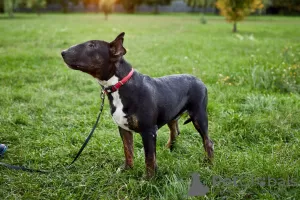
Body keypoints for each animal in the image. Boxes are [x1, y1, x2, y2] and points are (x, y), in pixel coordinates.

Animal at [61, 32, 213, 178]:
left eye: (92, 45)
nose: (62, 52)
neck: (120, 84)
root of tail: (200, 80)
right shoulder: (123, 129)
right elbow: (128, 150)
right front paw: (127, 170)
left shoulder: (149, 132)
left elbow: (149, 158)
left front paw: (148, 180)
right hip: (172, 114)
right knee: (175, 131)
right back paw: (167, 149)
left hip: (199, 115)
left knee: (208, 141)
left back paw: (208, 164)